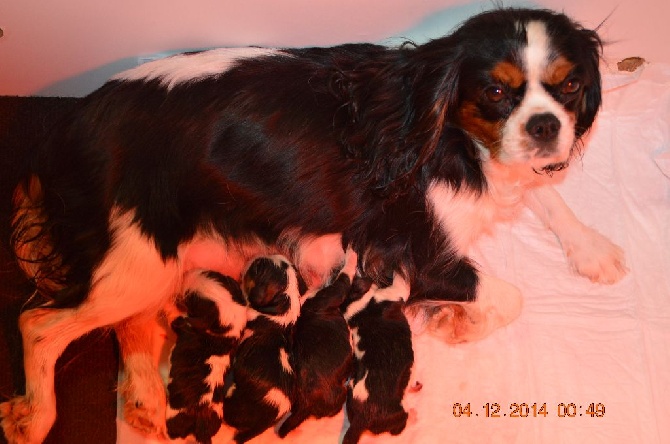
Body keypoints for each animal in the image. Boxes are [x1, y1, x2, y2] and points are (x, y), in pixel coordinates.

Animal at [164, 268, 248, 444]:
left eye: (191, 298)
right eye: (211, 272)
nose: (186, 273)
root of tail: (201, 424)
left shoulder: (183, 322)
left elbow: (176, 316)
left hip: (175, 418)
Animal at [344, 274, 418, 444]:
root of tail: (361, 418)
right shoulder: (395, 292)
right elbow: (399, 282)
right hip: (397, 415)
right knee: (399, 428)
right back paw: (413, 414)